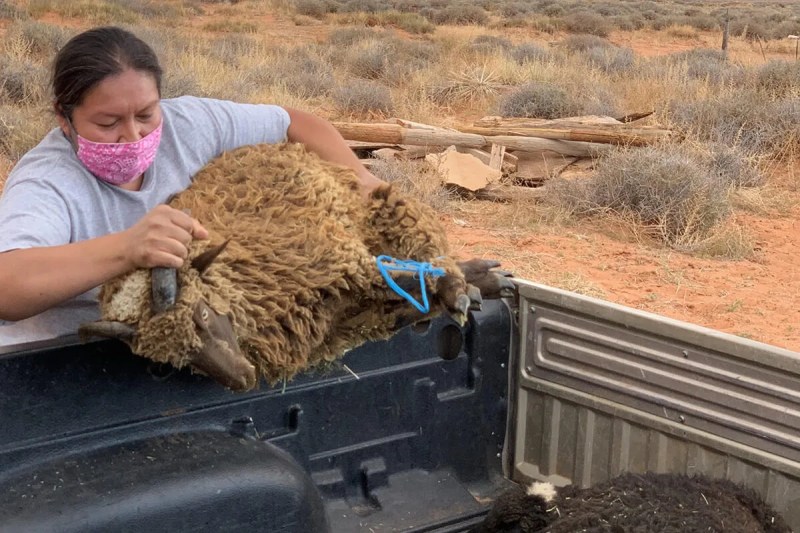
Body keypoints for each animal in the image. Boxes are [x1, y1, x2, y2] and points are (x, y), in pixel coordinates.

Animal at [80, 143, 514, 391]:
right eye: (169, 360)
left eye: (201, 314)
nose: (242, 380)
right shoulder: (340, 321)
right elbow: (402, 302)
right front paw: (471, 286)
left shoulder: (347, 263)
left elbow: (410, 278)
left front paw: (465, 289)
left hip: (383, 206)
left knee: (425, 247)